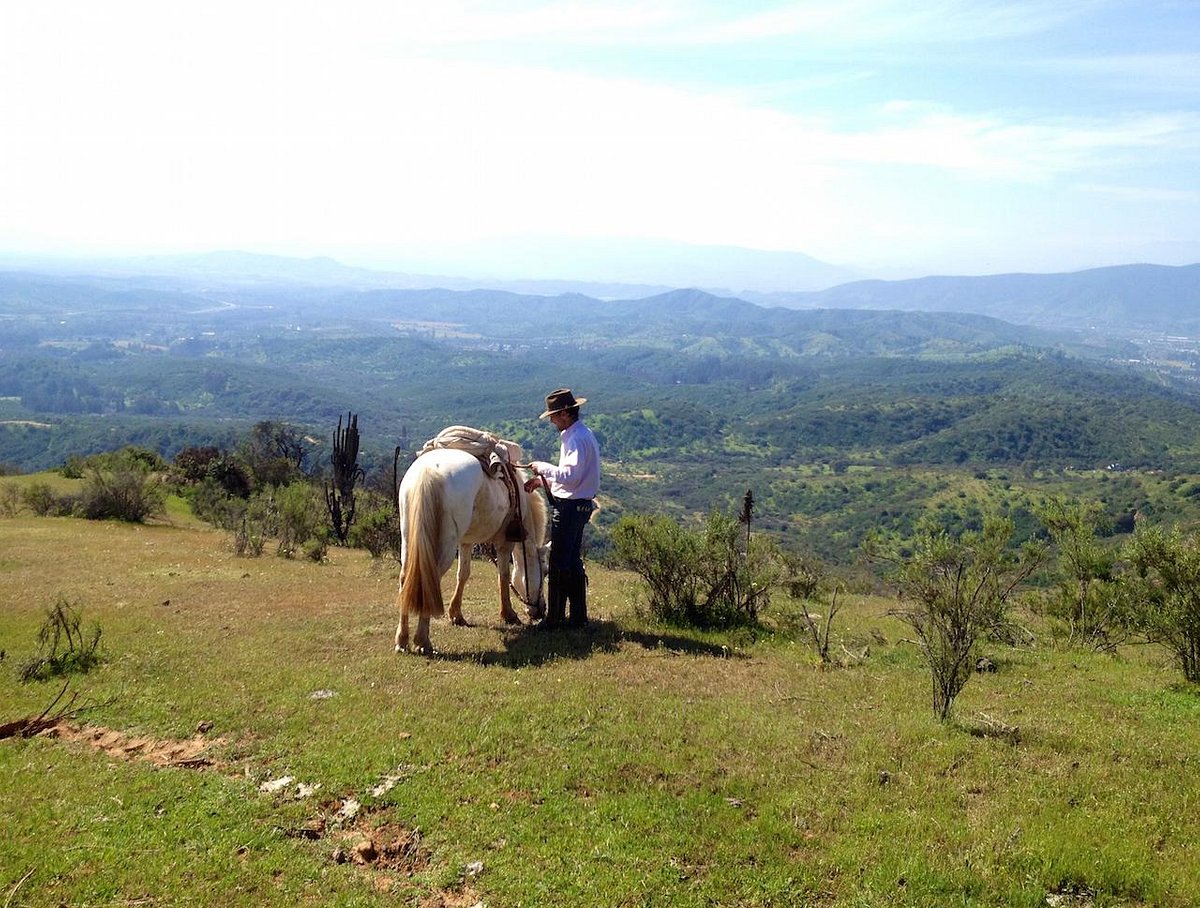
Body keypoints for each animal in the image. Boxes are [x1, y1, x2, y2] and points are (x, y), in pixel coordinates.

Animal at [393, 443, 549, 652]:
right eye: (545, 572)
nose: (541, 610)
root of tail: (428, 472)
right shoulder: (504, 543)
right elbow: (504, 575)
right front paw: (508, 614)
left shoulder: (466, 542)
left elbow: (463, 574)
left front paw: (456, 615)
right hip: (445, 545)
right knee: (430, 579)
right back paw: (422, 641)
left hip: (408, 538)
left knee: (405, 579)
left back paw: (402, 640)